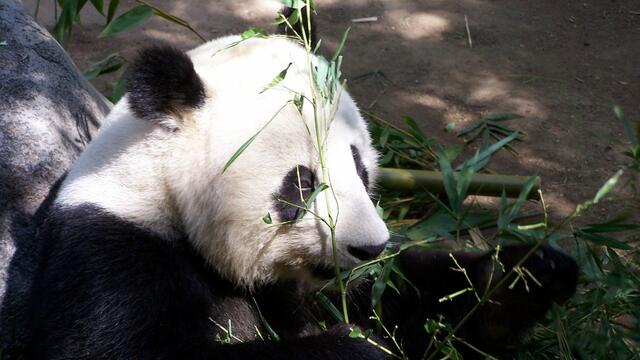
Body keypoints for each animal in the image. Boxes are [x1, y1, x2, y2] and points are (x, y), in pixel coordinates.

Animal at [28, 12, 580, 358]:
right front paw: (353, 347)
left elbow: (415, 304)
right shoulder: (115, 250)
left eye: (360, 168)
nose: (369, 247)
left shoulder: (338, 285)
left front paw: (527, 274)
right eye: (302, 183)